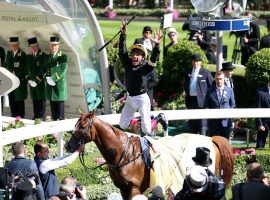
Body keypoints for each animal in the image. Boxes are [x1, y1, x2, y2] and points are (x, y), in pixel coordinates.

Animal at [65, 113, 234, 199]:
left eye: (82, 126)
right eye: (75, 125)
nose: (68, 146)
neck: (124, 153)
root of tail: (211, 139)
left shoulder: (134, 188)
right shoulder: (123, 188)